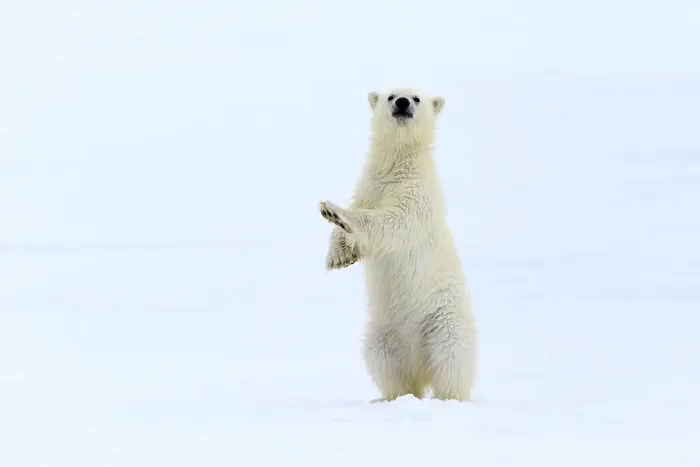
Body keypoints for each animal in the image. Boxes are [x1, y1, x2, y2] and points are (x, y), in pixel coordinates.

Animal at [319, 88, 478, 402]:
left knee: (452, 359)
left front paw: (336, 213)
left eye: (416, 98)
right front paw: (338, 256)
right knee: (385, 362)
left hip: (445, 321)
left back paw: (447, 397)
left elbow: (393, 221)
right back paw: (389, 396)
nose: (402, 103)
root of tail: (421, 365)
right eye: (391, 95)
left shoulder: (416, 193)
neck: (396, 166)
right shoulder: (369, 186)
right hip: (383, 331)